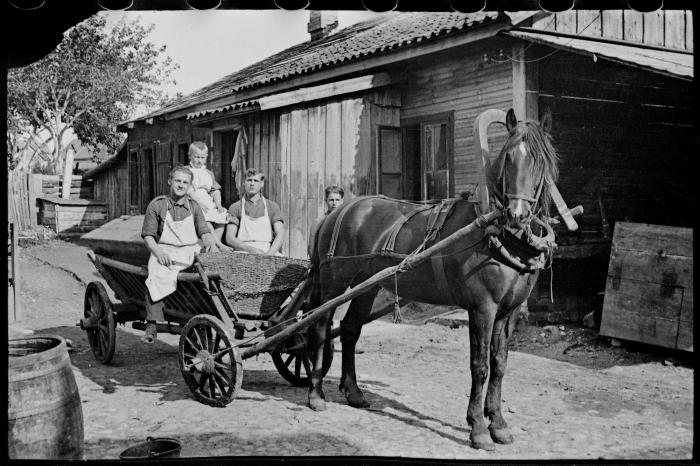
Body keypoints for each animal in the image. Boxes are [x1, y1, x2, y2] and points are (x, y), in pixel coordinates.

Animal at [306, 108, 556, 452]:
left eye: (540, 161)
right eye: (508, 158)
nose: (517, 215)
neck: (495, 233)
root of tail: (337, 212)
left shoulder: (509, 311)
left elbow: (500, 363)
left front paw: (498, 423)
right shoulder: (483, 308)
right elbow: (480, 365)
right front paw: (478, 428)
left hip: (367, 285)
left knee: (350, 329)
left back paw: (354, 392)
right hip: (333, 282)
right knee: (320, 327)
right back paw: (315, 394)